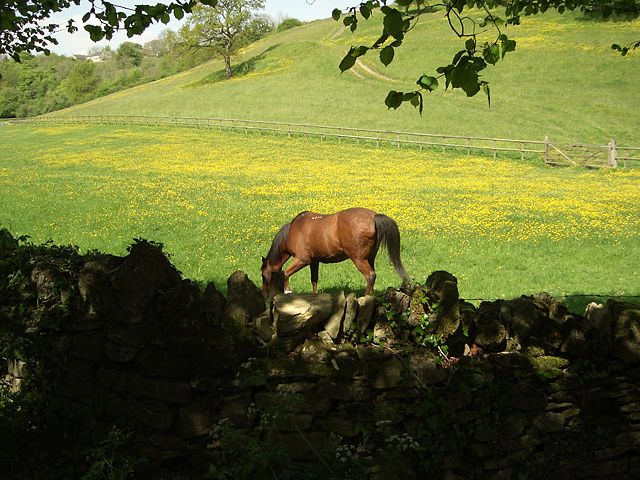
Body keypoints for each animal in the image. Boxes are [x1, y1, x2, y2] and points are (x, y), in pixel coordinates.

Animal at [260, 207, 410, 296]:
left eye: (263, 275)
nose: (264, 294)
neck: (294, 229)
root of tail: (374, 217)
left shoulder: (302, 260)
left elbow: (285, 274)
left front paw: (287, 291)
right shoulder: (314, 261)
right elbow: (314, 280)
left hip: (359, 259)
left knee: (370, 275)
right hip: (370, 258)